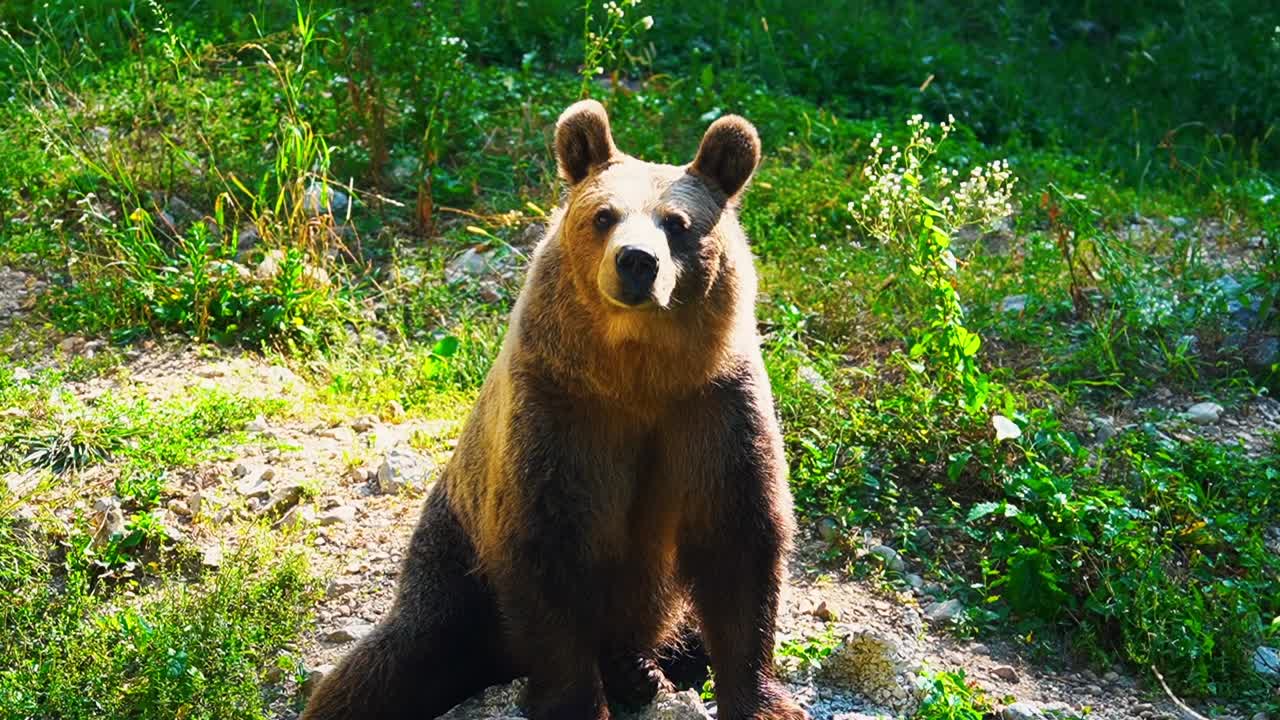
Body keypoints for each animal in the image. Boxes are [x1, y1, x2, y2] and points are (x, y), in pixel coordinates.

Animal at [300, 99, 806, 720]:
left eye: (678, 223)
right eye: (604, 215)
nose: (637, 261)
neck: (637, 374)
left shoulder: (712, 405)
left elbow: (739, 543)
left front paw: (760, 700)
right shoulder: (560, 410)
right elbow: (547, 547)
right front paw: (574, 701)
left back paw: (641, 671)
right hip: (448, 574)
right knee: (388, 665)